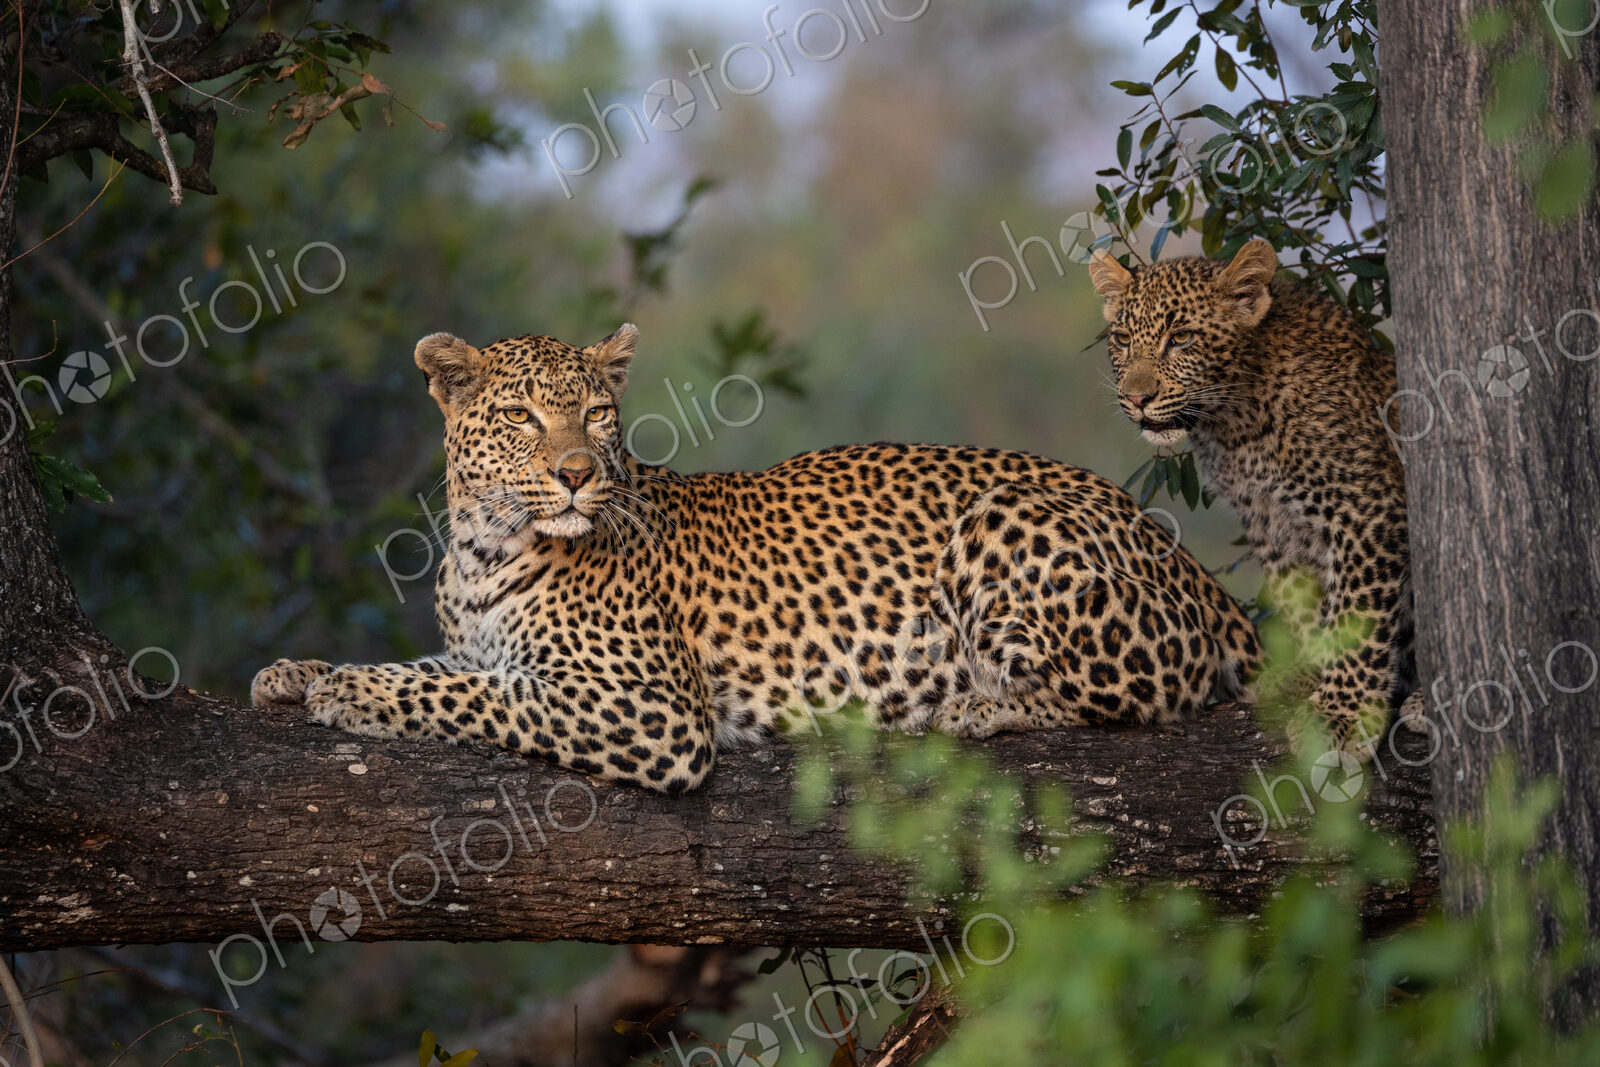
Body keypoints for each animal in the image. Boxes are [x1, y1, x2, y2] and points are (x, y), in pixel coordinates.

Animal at [251, 324, 1260, 792]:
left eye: (597, 415)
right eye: (523, 418)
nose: (577, 474)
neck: (485, 547)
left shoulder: (655, 710)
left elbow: (476, 697)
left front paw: (349, 691)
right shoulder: (481, 647)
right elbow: (448, 670)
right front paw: (291, 671)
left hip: (1007, 517)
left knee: (1130, 697)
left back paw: (973, 703)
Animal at [1088, 238, 1421, 759]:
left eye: (1181, 338)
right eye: (1122, 339)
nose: (1137, 398)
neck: (1237, 424)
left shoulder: (1366, 508)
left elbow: (1356, 614)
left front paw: (1343, 714)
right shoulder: (1272, 523)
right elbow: (1301, 604)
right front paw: (1310, 678)